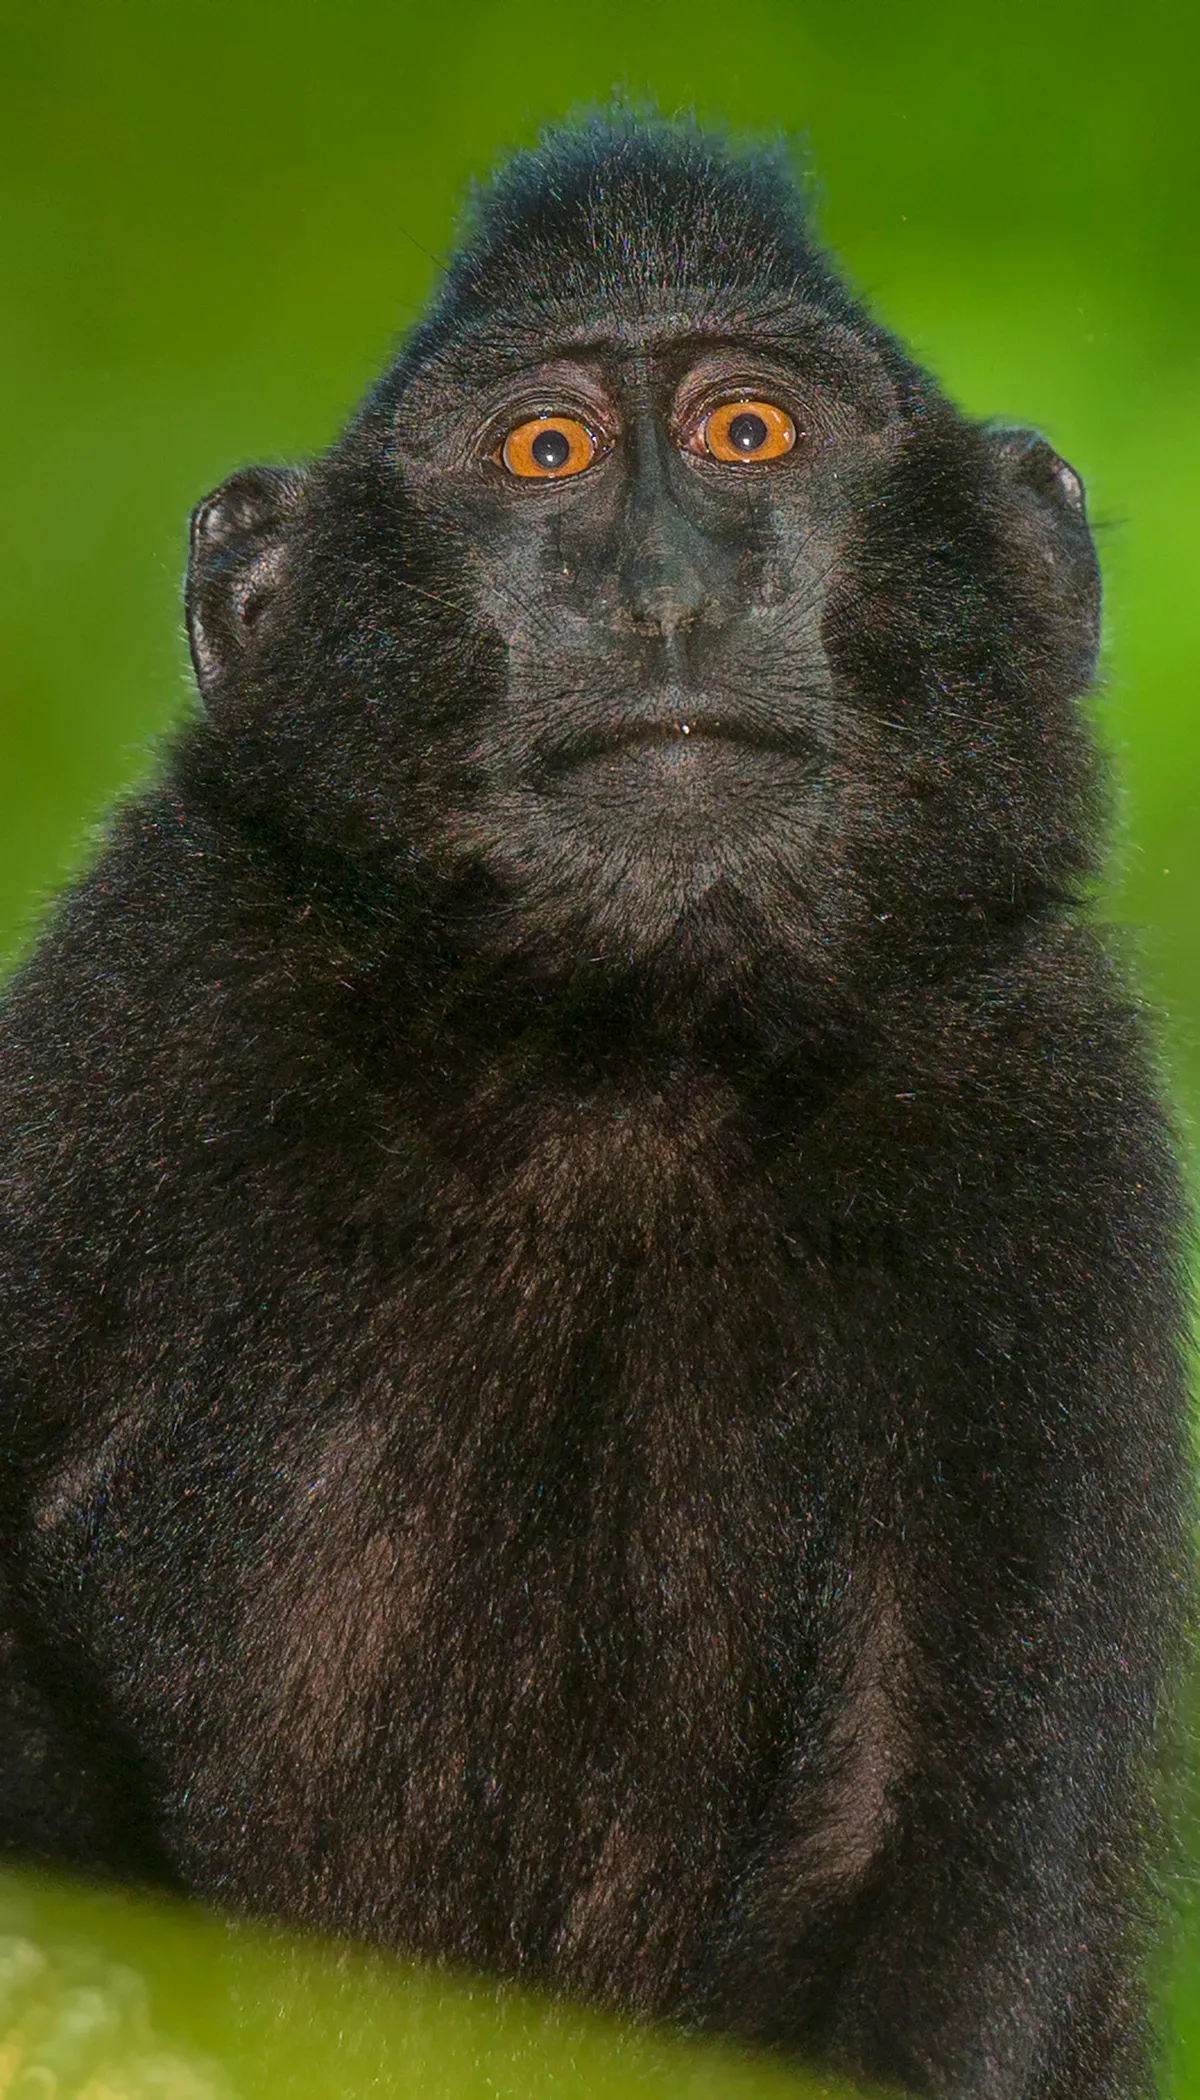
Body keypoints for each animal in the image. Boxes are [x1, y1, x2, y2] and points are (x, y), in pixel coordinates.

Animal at [0, 110, 1193, 2100]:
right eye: (543, 452)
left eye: (750, 434)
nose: (668, 600)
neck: (618, 1052)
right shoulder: (142, 997)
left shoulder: (1051, 1119)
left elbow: (943, 1862)